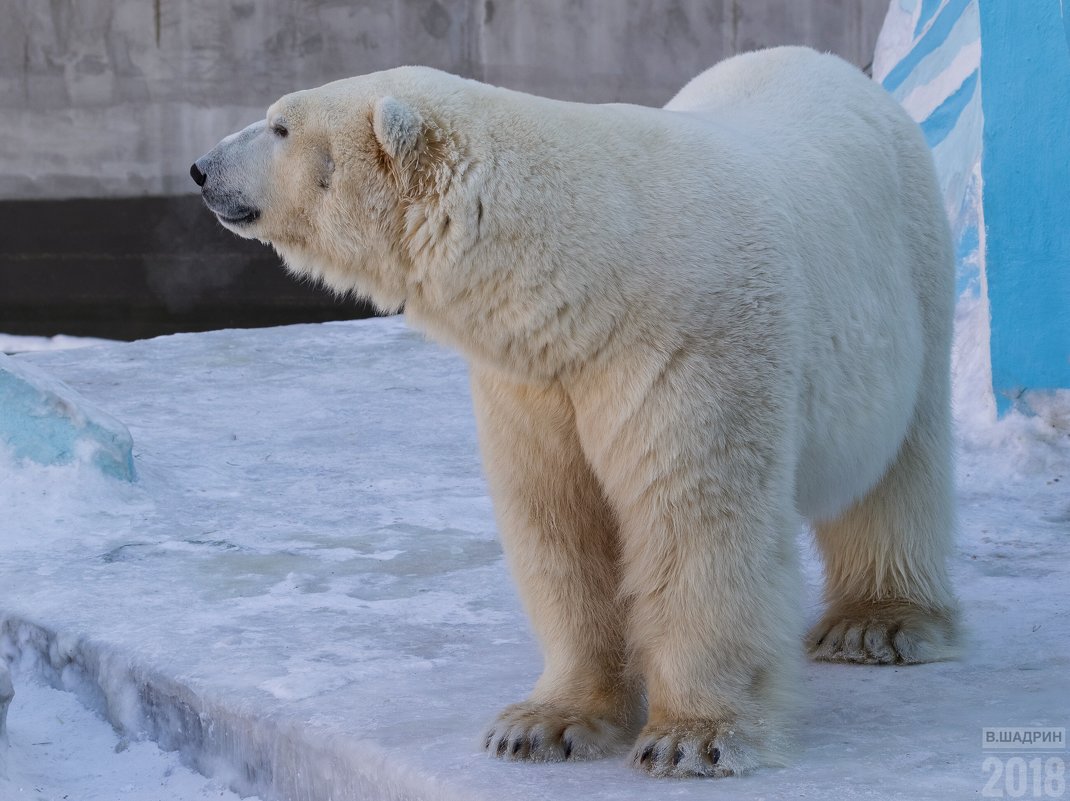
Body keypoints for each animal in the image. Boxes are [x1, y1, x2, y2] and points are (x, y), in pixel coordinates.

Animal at [192, 45, 963, 774]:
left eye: (280, 125)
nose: (200, 168)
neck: (596, 270)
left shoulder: (690, 350)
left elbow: (696, 522)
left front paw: (693, 738)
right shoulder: (536, 377)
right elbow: (560, 521)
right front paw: (544, 724)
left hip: (911, 275)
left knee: (900, 466)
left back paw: (878, 624)